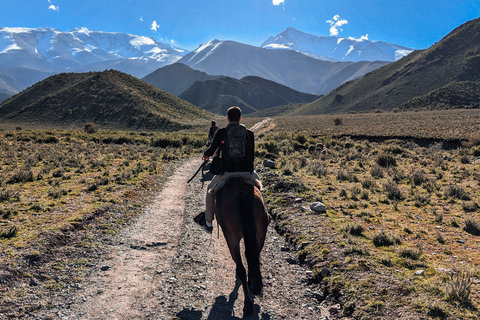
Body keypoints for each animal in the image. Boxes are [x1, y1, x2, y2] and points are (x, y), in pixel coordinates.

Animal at [214, 176, 270, 316]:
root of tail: (241, 194)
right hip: (260, 233)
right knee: (253, 259)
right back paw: (254, 286)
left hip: (231, 237)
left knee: (241, 268)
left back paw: (248, 305)